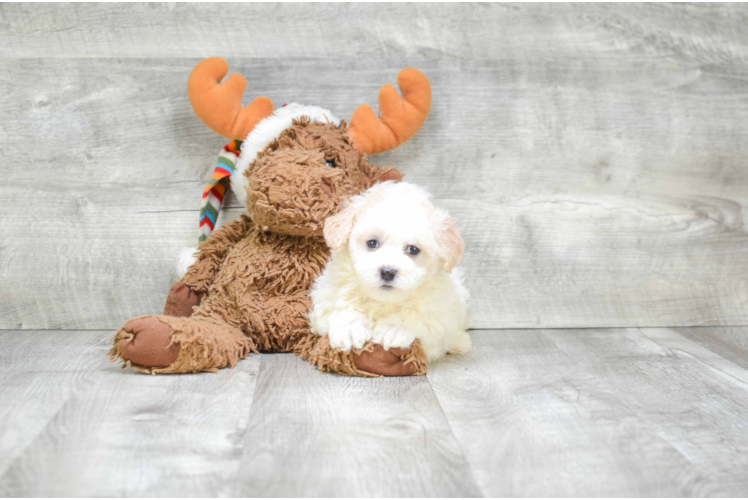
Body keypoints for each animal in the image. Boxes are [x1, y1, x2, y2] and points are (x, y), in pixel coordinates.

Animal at [306, 182, 470, 362]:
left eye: (413, 249)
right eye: (372, 243)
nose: (388, 272)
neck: (383, 300)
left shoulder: (439, 317)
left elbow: (417, 314)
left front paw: (394, 328)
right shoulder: (326, 297)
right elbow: (340, 306)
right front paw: (349, 329)